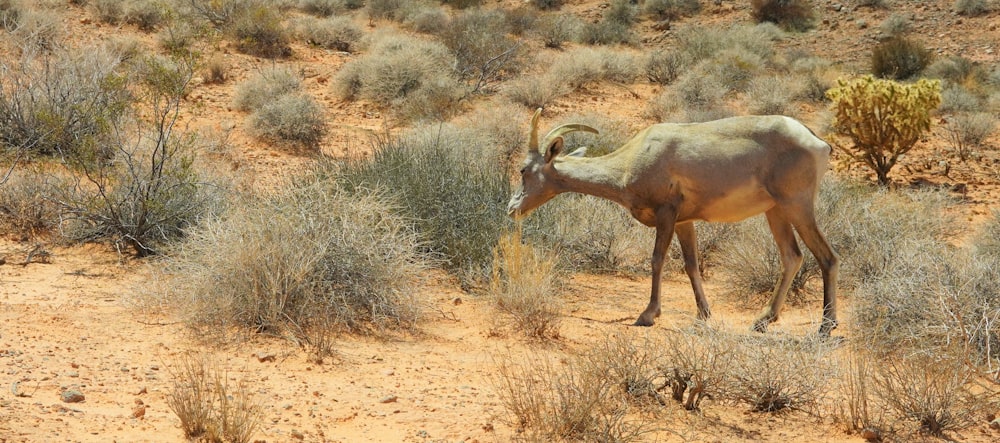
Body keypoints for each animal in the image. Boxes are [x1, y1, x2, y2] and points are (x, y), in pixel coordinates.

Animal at [504, 110, 840, 336]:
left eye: (523, 170)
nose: (512, 209)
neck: (634, 157)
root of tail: (816, 141)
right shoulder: (684, 221)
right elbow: (691, 264)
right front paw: (704, 313)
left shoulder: (666, 213)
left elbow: (657, 260)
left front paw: (647, 314)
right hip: (776, 211)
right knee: (792, 256)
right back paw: (763, 320)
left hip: (796, 205)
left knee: (827, 256)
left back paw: (826, 326)